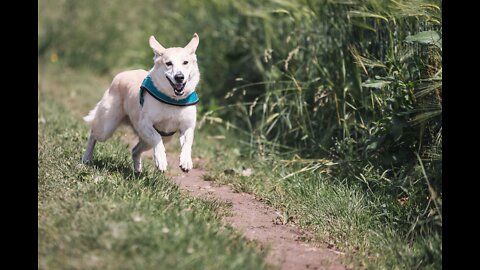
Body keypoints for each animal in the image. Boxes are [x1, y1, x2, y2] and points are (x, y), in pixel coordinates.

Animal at [81, 33, 200, 173]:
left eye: (185, 62)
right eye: (168, 63)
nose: (179, 77)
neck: (172, 100)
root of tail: (122, 74)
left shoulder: (187, 126)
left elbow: (188, 143)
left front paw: (186, 161)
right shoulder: (144, 124)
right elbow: (157, 138)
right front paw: (161, 160)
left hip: (158, 138)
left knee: (135, 150)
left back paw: (137, 171)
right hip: (107, 126)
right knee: (93, 134)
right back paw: (86, 158)